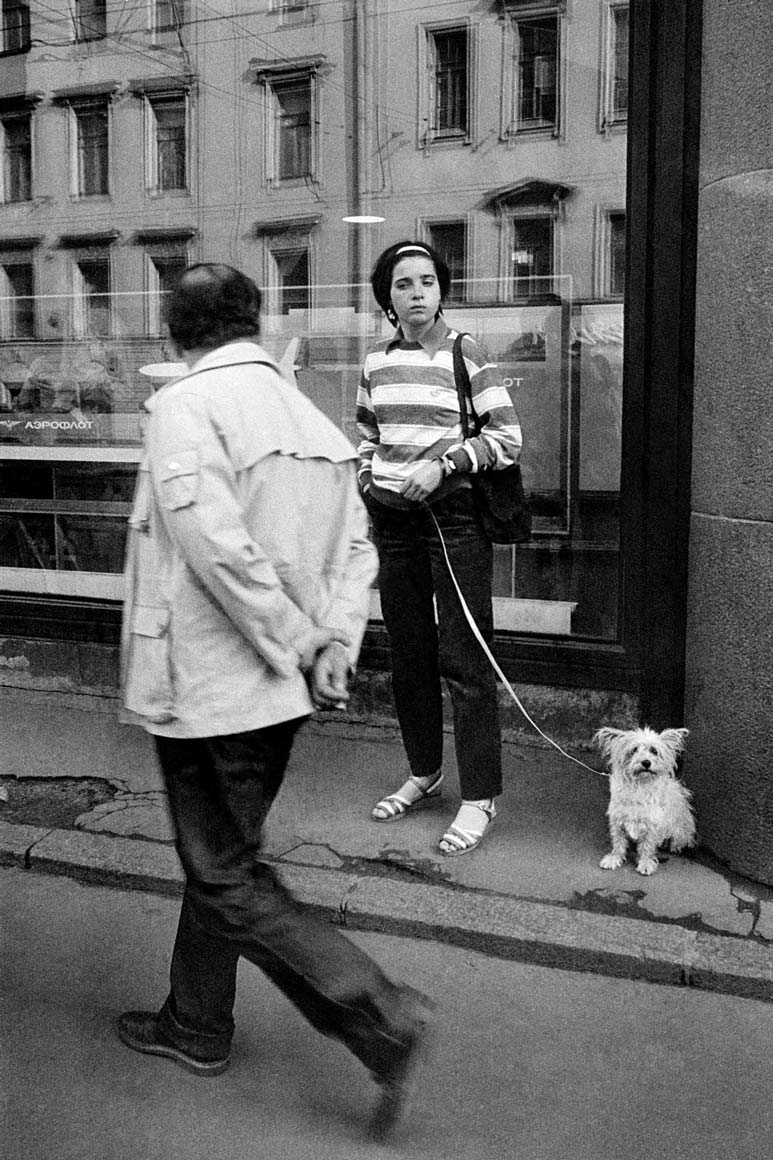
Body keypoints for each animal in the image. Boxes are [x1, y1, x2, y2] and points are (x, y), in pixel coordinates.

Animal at [591, 723, 696, 876]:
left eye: (654, 751)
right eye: (634, 750)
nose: (646, 762)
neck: (639, 785)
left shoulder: (652, 825)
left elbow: (647, 846)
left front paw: (645, 863)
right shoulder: (617, 821)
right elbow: (618, 843)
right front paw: (614, 858)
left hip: (679, 828)